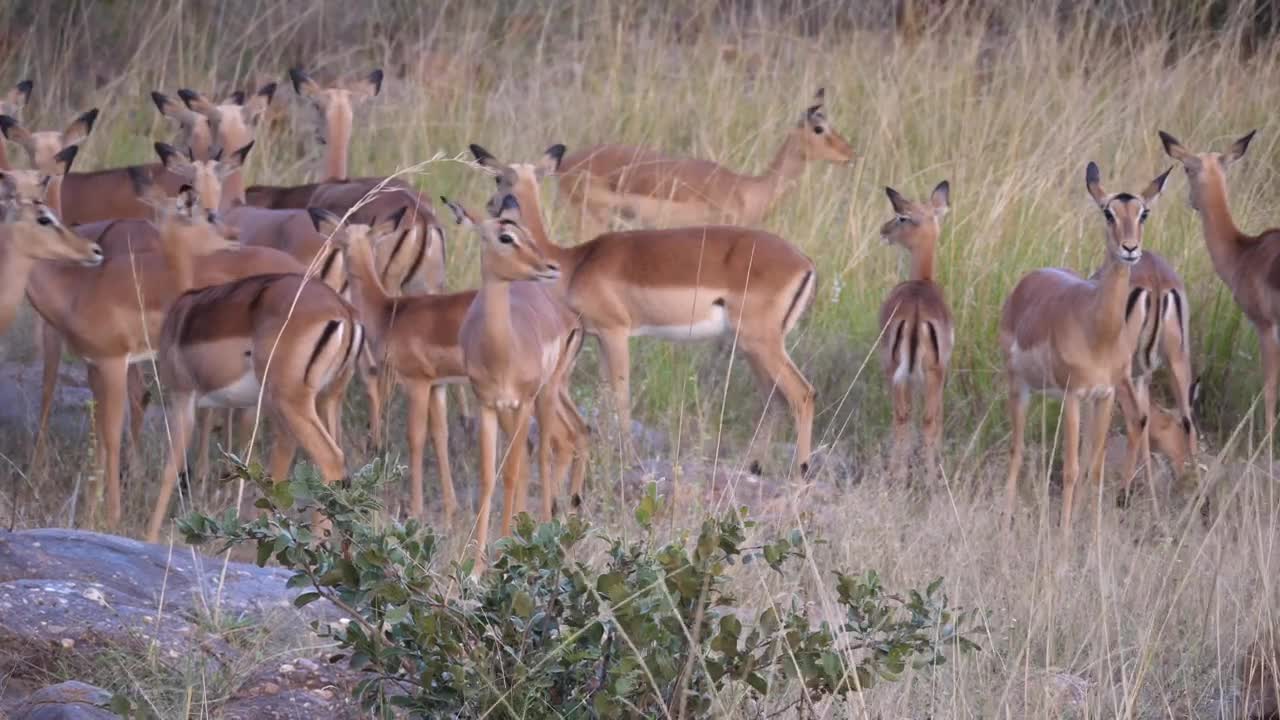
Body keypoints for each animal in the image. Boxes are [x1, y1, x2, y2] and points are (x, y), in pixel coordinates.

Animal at [24, 145, 305, 530]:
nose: (233, 236)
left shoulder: (114, 363)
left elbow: (111, 433)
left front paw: (111, 516)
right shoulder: (97, 365)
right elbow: (101, 433)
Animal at [443, 193, 588, 567]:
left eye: (526, 233)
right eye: (505, 237)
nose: (550, 267)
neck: (501, 352)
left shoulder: (523, 403)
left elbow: (509, 473)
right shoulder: (488, 406)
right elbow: (489, 477)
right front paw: (479, 565)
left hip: (546, 394)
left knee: (549, 452)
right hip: (520, 407)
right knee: (537, 454)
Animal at [472, 143, 818, 475]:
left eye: (499, 178)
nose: (490, 205)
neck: (575, 262)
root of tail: (805, 262)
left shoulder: (615, 332)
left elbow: (621, 396)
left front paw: (627, 458)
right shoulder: (599, 337)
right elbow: (605, 395)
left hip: (760, 344)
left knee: (802, 394)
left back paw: (800, 473)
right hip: (752, 347)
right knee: (775, 399)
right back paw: (754, 466)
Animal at [877, 181, 953, 481]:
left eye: (901, 217)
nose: (883, 231)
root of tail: (917, 311)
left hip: (901, 372)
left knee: (906, 417)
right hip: (924, 373)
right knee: (922, 418)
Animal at [1001, 162, 1169, 533]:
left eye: (1144, 213)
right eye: (1108, 212)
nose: (1130, 249)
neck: (1098, 332)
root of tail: (1027, 281)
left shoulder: (1104, 396)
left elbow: (1095, 469)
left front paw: (1093, 539)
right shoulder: (1074, 396)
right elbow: (1071, 470)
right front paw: (1063, 544)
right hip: (1020, 387)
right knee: (1016, 450)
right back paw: (1005, 518)